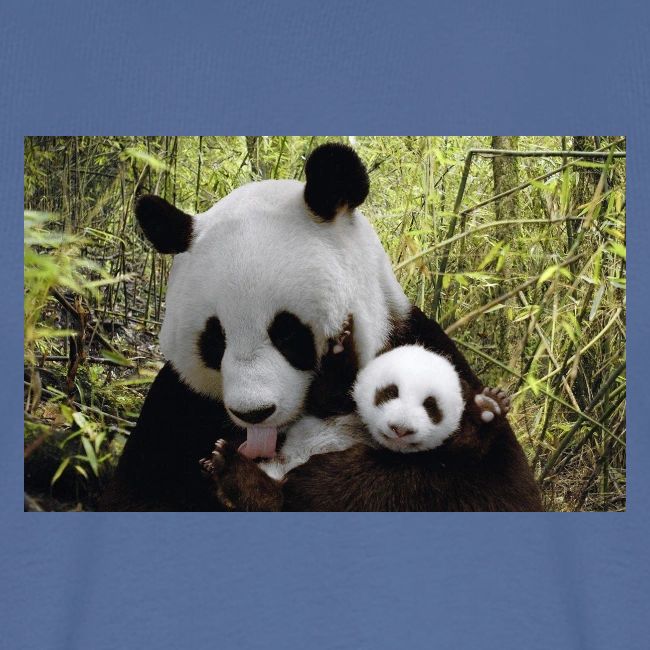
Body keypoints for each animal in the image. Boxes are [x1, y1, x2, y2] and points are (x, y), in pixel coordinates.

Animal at [99, 143, 539, 512]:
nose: (254, 413)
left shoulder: (421, 346)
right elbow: (138, 493)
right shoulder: (178, 405)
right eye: (215, 339)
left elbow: (489, 488)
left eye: (287, 333)